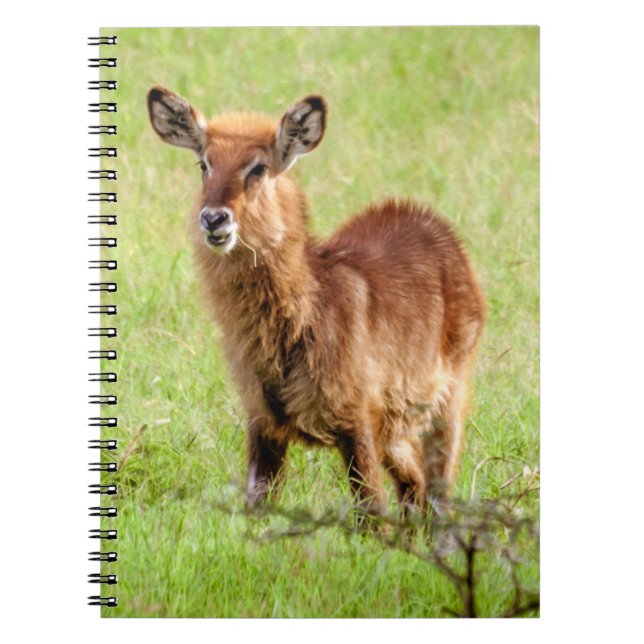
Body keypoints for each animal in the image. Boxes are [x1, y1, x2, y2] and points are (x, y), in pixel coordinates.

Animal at [147, 86, 485, 516]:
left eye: (258, 167)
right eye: (203, 163)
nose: (214, 219)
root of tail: (429, 222)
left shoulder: (357, 422)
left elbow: (371, 511)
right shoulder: (263, 423)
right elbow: (257, 510)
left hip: (447, 402)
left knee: (438, 493)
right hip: (395, 428)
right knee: (415, 488)